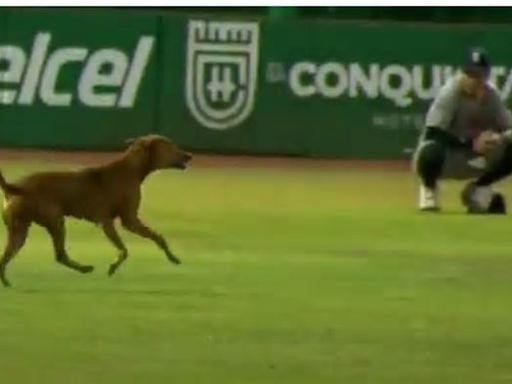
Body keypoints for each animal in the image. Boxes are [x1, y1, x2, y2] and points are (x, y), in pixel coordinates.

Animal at [0, 134, 191, 286]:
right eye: (169, 146)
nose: (189, 155)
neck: (130, 169)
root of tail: (17, 188)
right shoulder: (116, 221)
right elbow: (124, 251)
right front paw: (112, 267)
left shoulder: (129, 221)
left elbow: (158, 238)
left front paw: (173, 258)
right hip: (56, 222)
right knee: (60, 255)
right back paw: (86, 268)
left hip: (20, 231)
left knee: (11, 258)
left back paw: (7, 283)